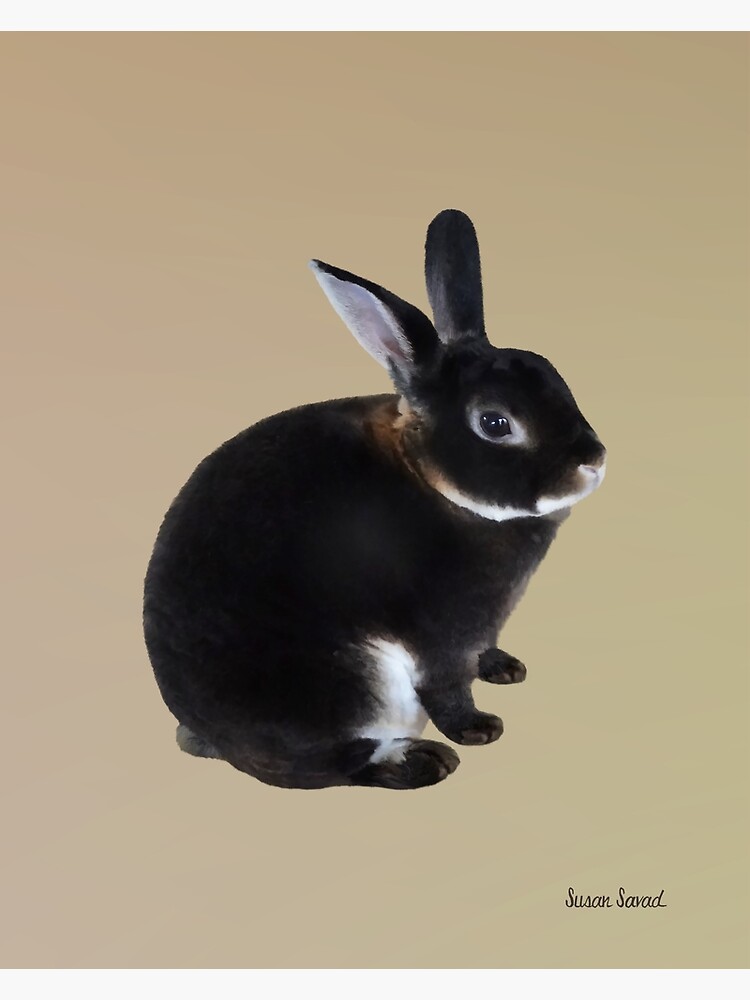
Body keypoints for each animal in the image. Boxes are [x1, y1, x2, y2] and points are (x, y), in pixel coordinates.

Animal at [143, 209, 606, 790]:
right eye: (495, 423)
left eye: (554, 376)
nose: (593, 460)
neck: (433, 479)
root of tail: (214, 739)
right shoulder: (440, 634)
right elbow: (447, 686)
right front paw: (479, 729)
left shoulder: (483, 626)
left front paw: (505, 668)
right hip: (352, 685)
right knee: (330, 766)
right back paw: (421, 762)